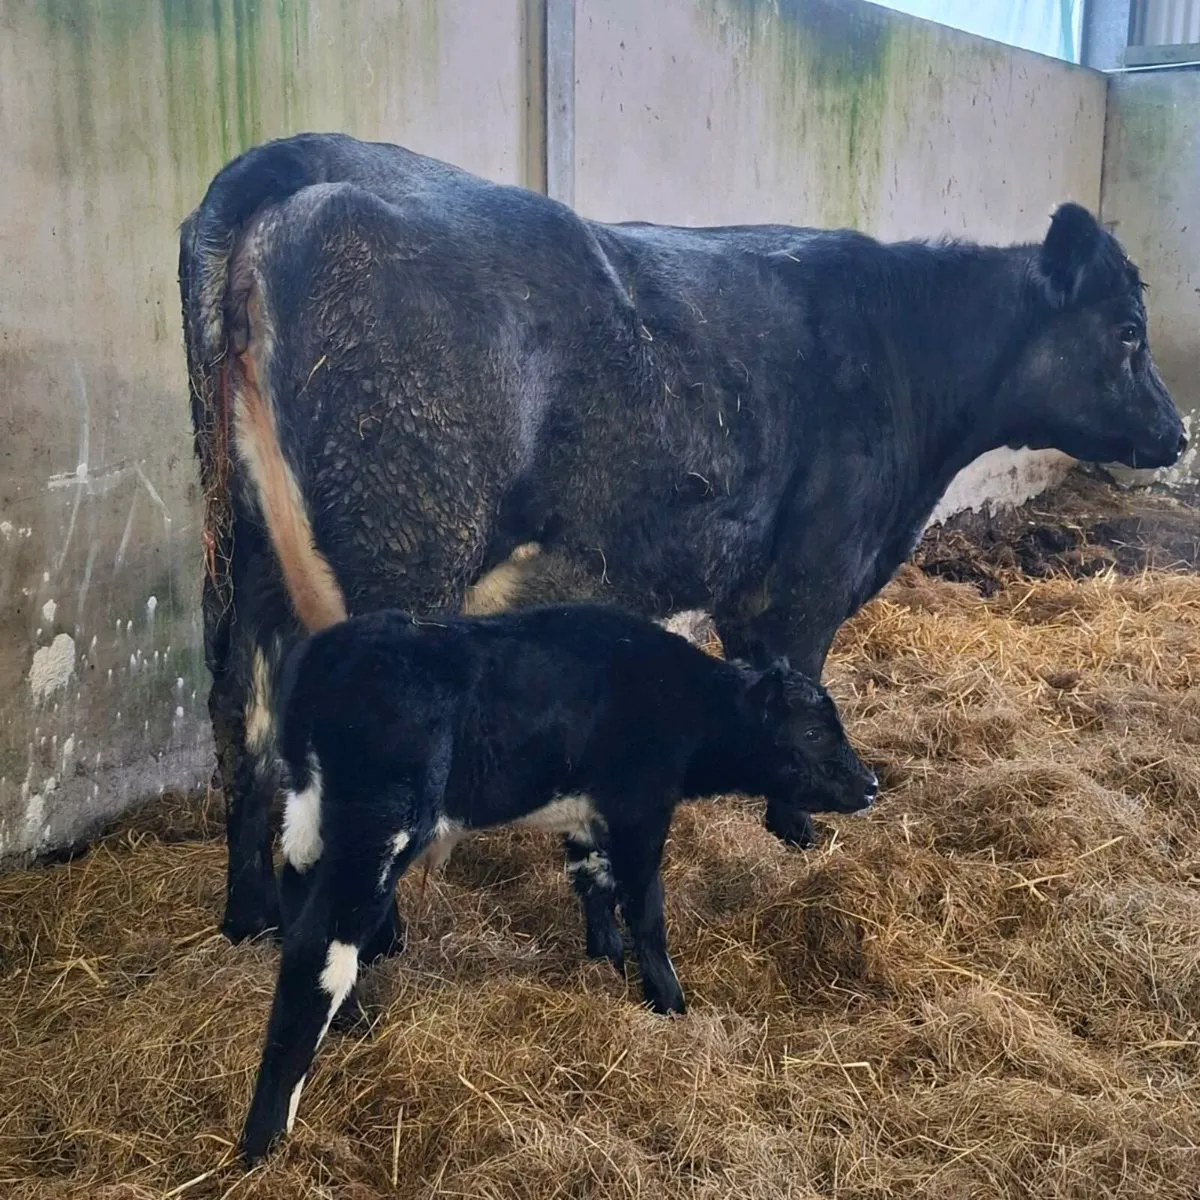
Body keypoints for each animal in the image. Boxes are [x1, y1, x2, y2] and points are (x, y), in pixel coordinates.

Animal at [177, 131, 1185, 945]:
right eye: (1130, 331)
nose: (1178, 434)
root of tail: (296, 160)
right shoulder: (812, 576)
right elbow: (804, 691)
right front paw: (798, 831)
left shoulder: (747, 589)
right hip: (402, 557)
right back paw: (373, 949)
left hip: (248, 562)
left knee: (243, 724)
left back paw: (250, 918)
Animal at [238, 601, 877, 1163]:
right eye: (814, 731)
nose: (870, 784)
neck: (684, 701)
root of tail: (328, 654)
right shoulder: (640, 810)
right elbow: (646, 906)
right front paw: (668, 1000)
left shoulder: (588, 816)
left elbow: (592, 881)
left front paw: (603, 959)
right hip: (379, 826)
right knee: (319, 945)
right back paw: (264, 1137)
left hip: (309, 816)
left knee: (298, 896)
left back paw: (352, 1023)